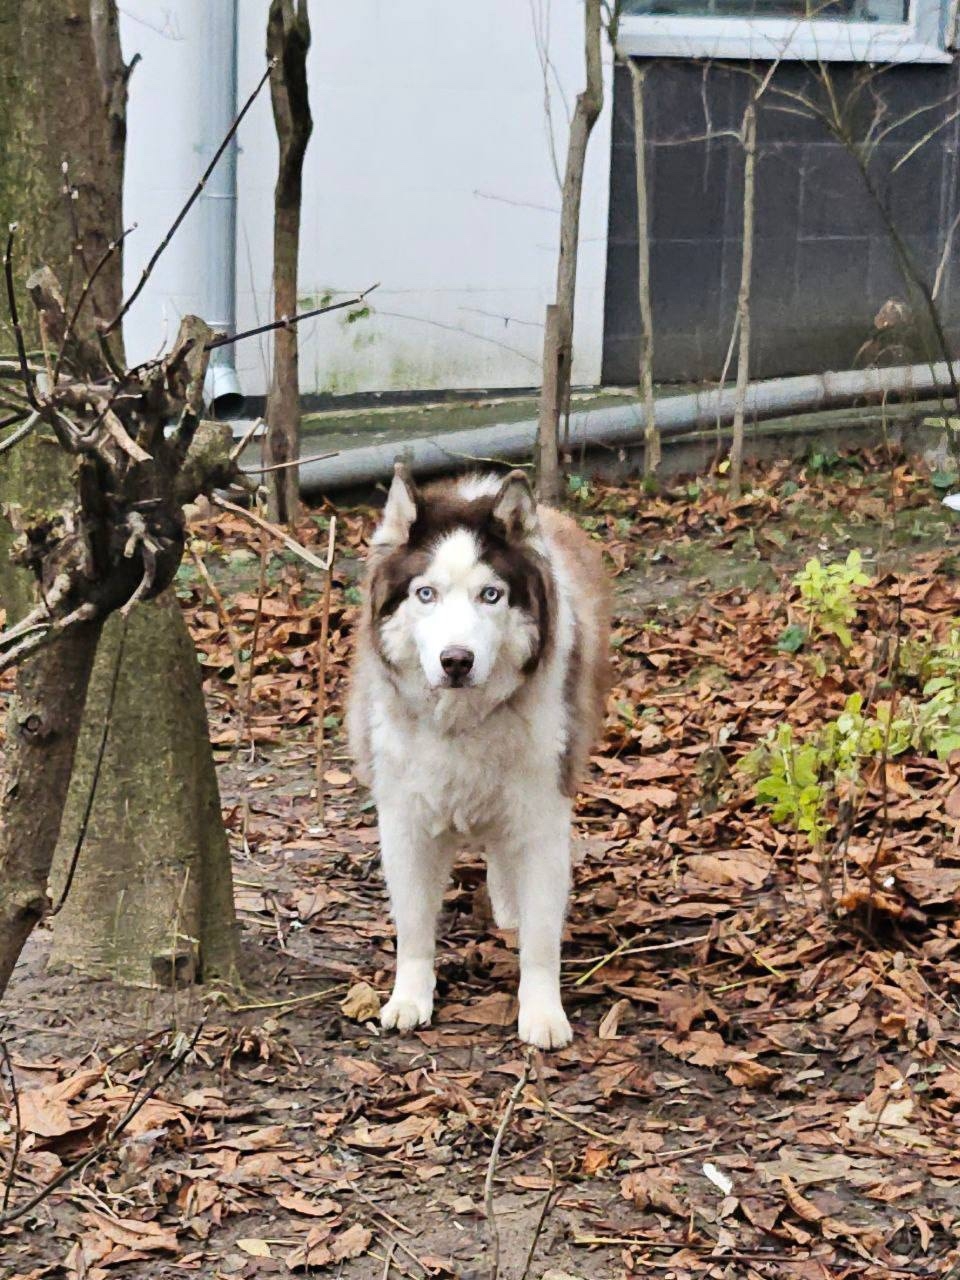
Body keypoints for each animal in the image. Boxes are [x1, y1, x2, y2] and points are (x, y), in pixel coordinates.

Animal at [347, 465, 609, 1049]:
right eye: (425, 594)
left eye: (491, 595)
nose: (456, 660)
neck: (462, 720)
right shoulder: (405, 821)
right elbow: (414, 926)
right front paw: (409, 998)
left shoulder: (542, 814)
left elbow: (541, 937)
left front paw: (543, 1012)